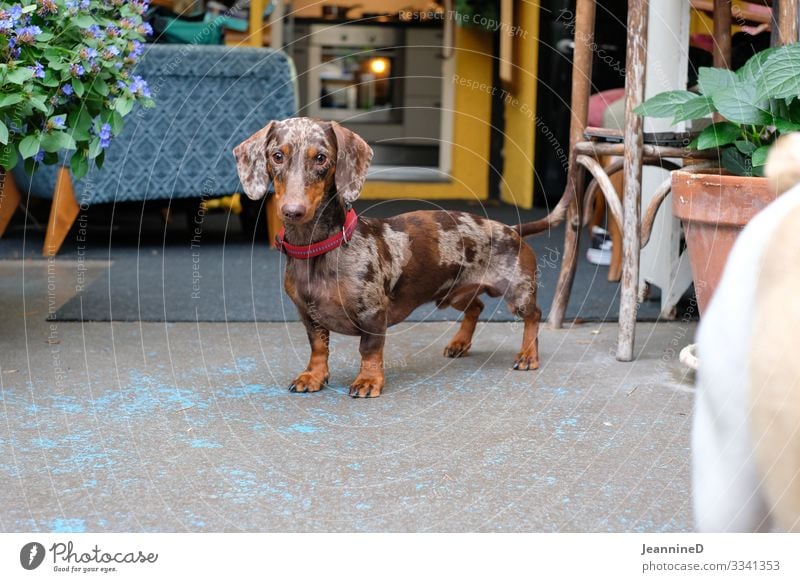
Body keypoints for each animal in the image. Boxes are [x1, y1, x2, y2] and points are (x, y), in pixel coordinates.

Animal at [234, 120, 564, 400]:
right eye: (277, 156)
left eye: (321, 158)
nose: (293, 211)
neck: (317, 249)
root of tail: (511, 228)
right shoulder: (307, 314)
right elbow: (318, 347)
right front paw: (313, 376)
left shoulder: (372, 314)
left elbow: (369, 350)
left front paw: (368, 381)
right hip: (453, 293)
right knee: (476, 307)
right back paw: (459, 343)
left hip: (517, 293)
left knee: (533, 316)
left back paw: (528, 355)